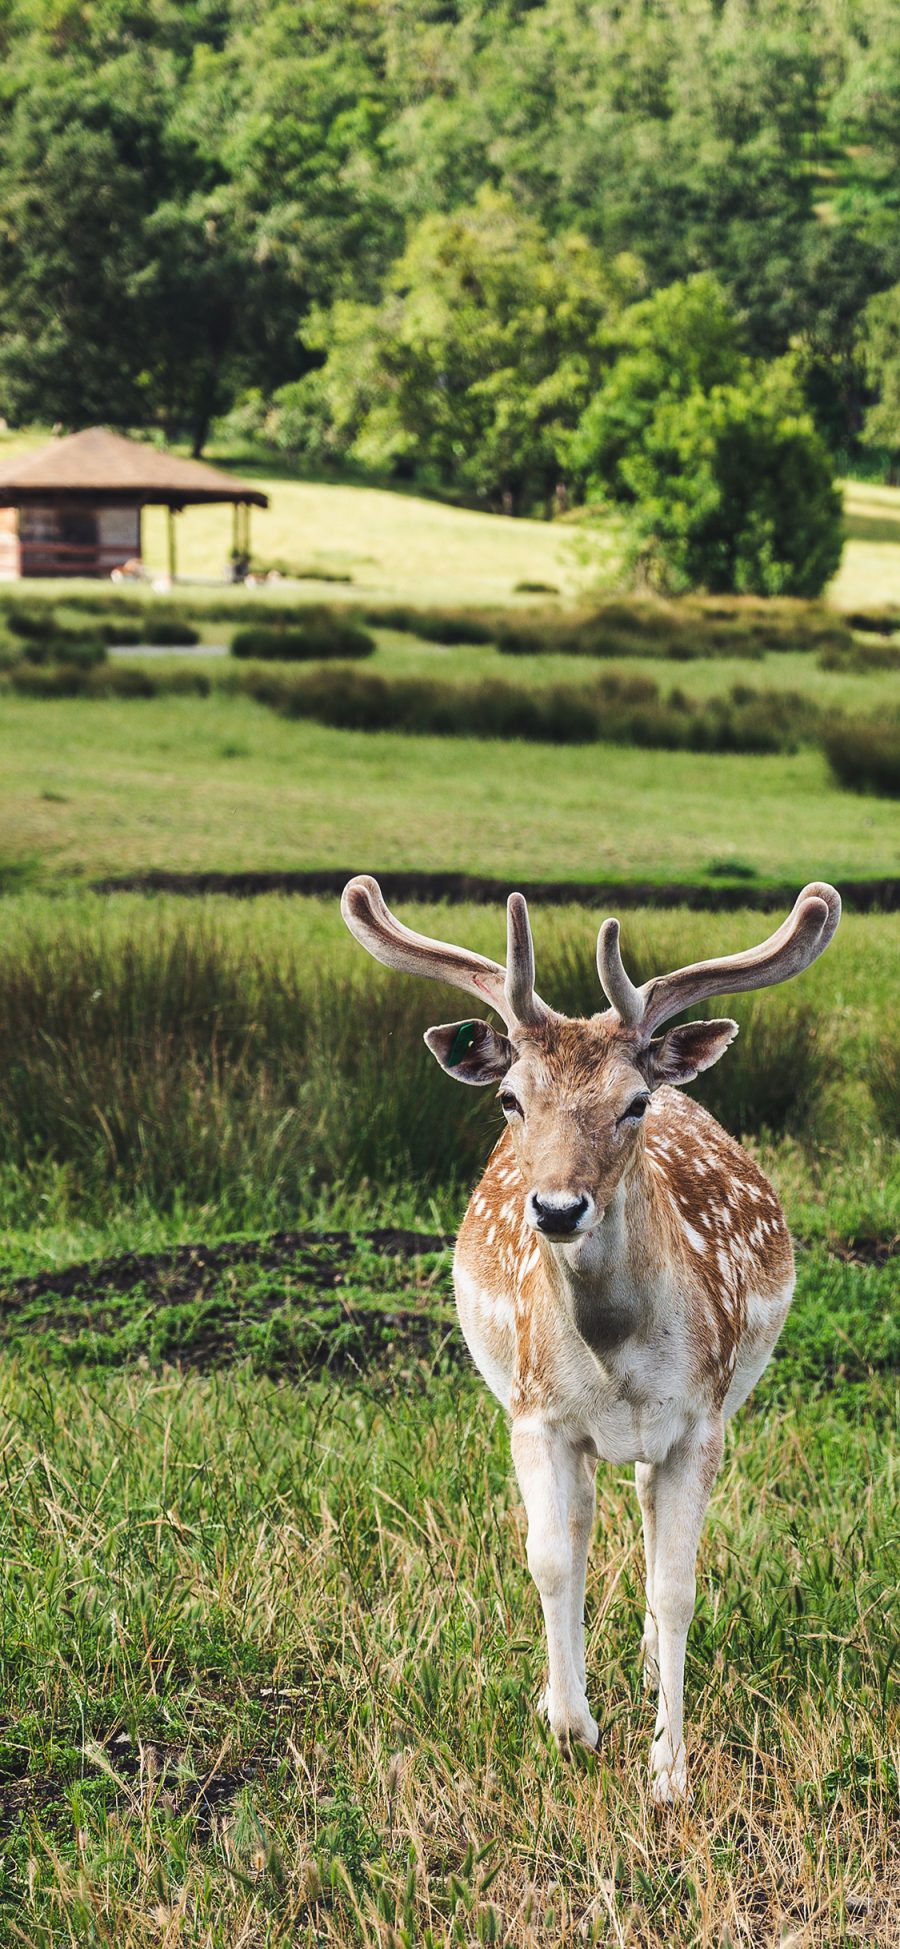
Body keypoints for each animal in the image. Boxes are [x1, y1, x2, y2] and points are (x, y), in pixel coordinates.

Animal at [340, 877, 841, 1800]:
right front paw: (570, 1723)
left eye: (630, 1103)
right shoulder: (536, 1413)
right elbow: (549, 1557)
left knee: (640, 1506)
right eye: (512, 1099)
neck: (615, 1355)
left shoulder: (701, 1418)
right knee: (578, 1528)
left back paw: (644, 1667)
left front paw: (669, 1769)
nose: (557, 1207)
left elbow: (678, 1585)